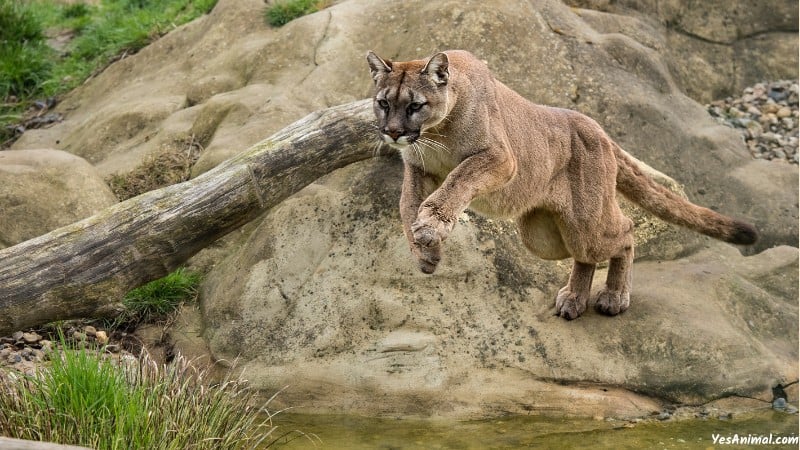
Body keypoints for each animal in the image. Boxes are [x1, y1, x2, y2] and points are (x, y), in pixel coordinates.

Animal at [366, 49, 760, 320]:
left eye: (415, 105)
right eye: (383, 103)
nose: (393, 132)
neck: (437, 133)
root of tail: (596, 127)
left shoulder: (499, 158)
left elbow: (457, 179)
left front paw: (431, 227)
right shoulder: (418, 169)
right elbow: (407, 205)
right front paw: (425, 251)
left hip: (588, 220)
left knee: (625, 231)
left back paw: (614, 296)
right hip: (544, 236)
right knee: (584, 255)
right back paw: (574, 298)